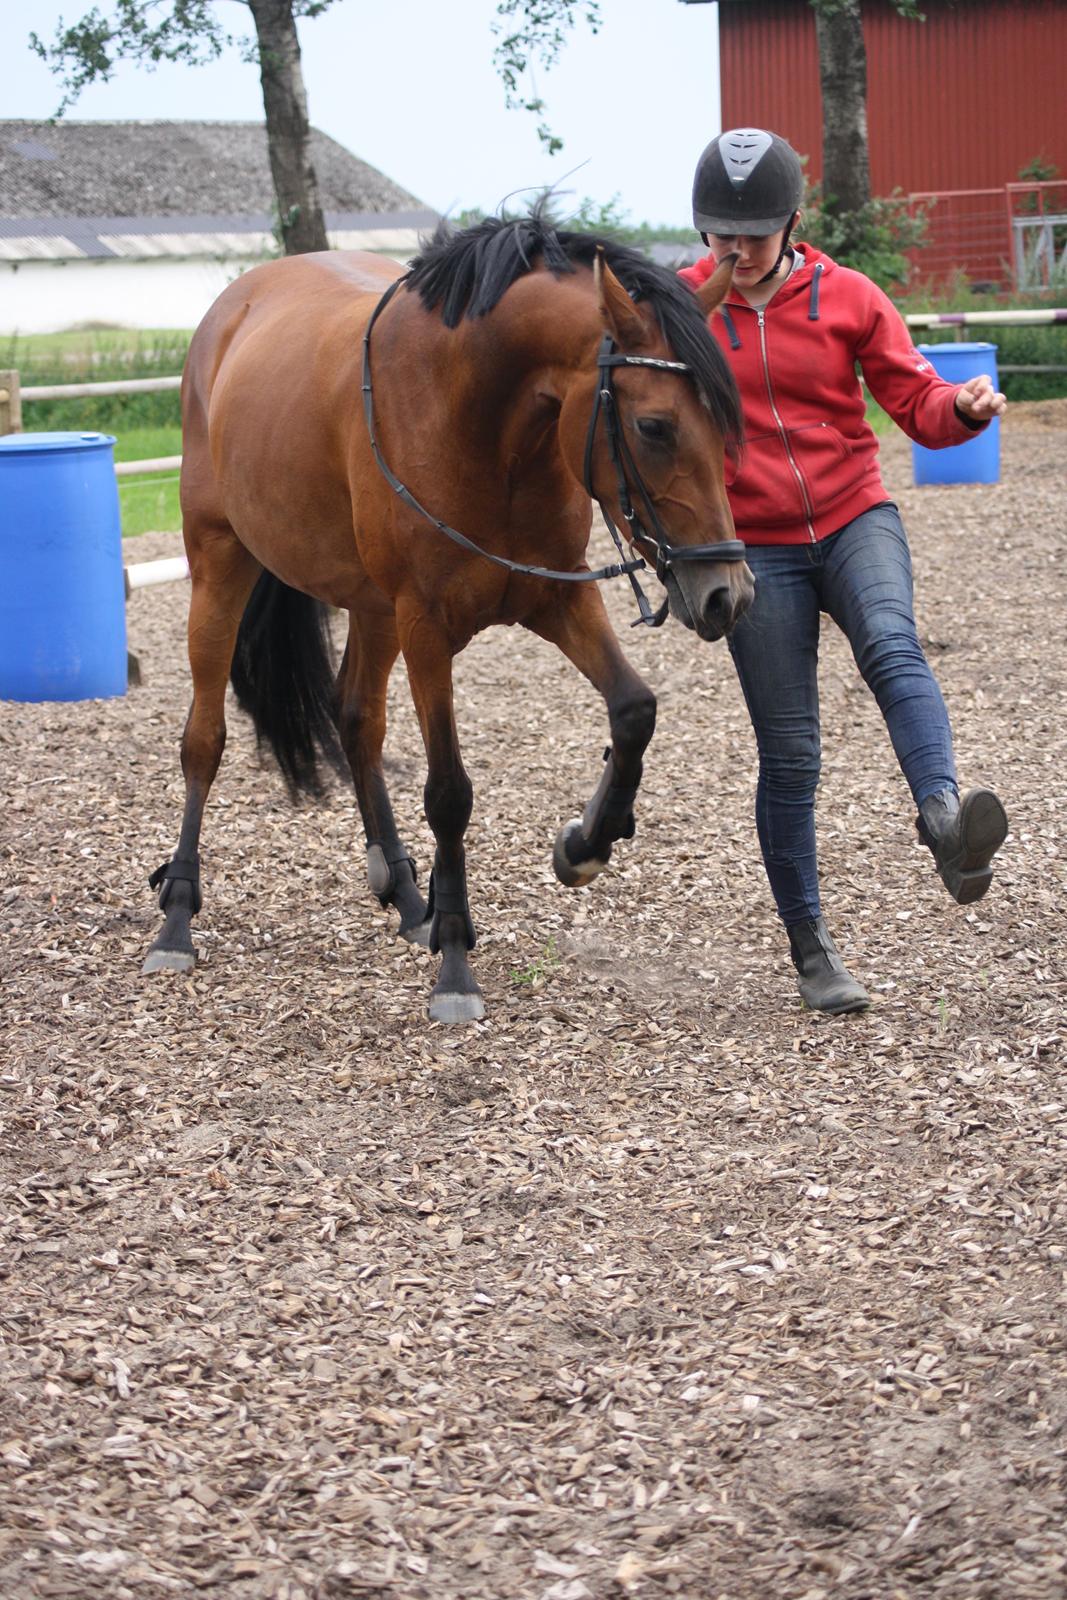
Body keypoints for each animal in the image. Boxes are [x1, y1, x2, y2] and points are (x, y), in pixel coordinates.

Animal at [143, 212, 751, 1017]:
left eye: (726, 424)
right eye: (654, 426)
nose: (726, 594)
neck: (481, 421)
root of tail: (232, 310)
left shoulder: (559, 598)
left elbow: (633, 709)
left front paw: (584, 843)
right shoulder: (427, 628)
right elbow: (450, 792)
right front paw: (458, 961)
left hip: (371, 606)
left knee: (356, 721)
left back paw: (405, 895)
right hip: (222, 563)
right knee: (203, 740)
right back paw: (178, 917)